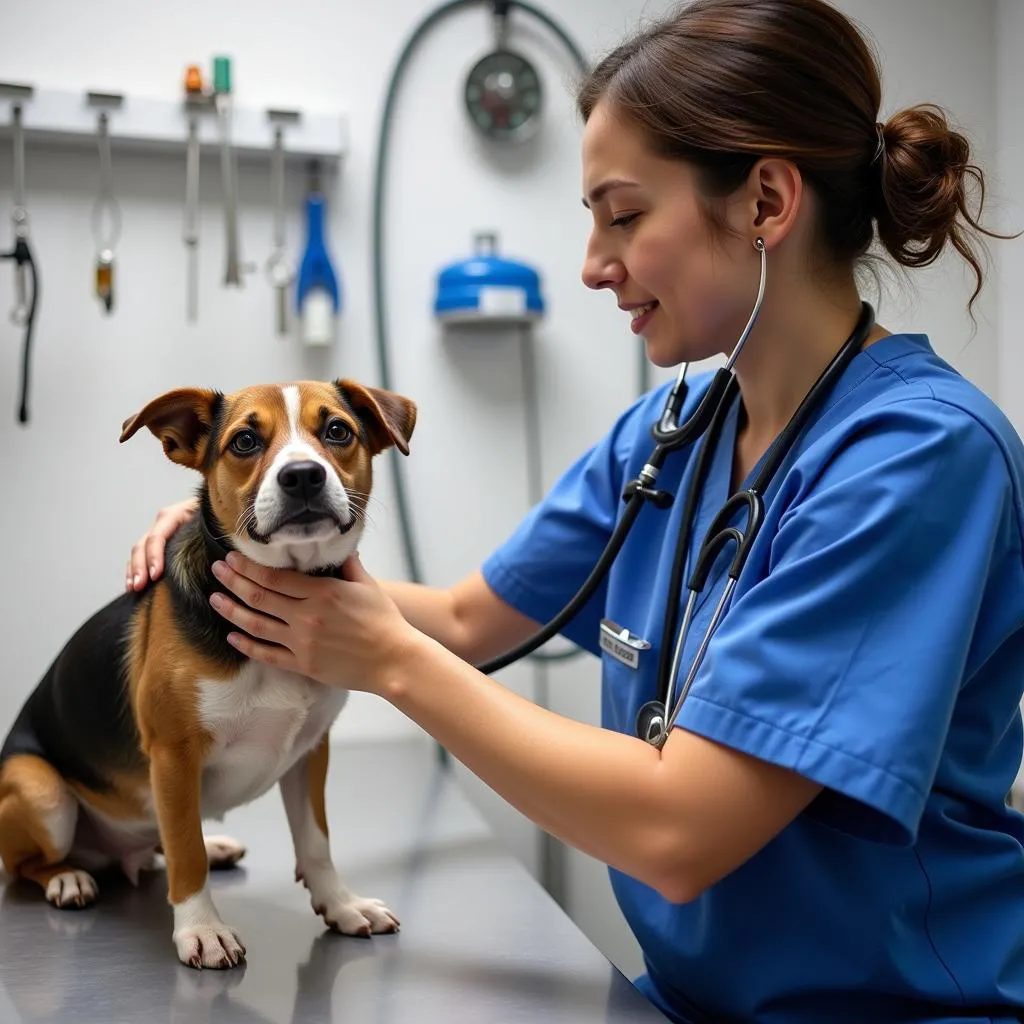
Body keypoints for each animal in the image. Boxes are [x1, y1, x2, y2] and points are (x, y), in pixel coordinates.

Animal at [1, 378, 415, 966]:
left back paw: (209, 846)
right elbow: (186, 853)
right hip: (42, 793)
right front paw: (202, 929)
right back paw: (68, 878)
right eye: (244, 441)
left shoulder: (311, 750)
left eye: (338, 431)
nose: (303, 475)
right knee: (27, 865)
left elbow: (316, 842)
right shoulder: (174, 756)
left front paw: (341, 904)